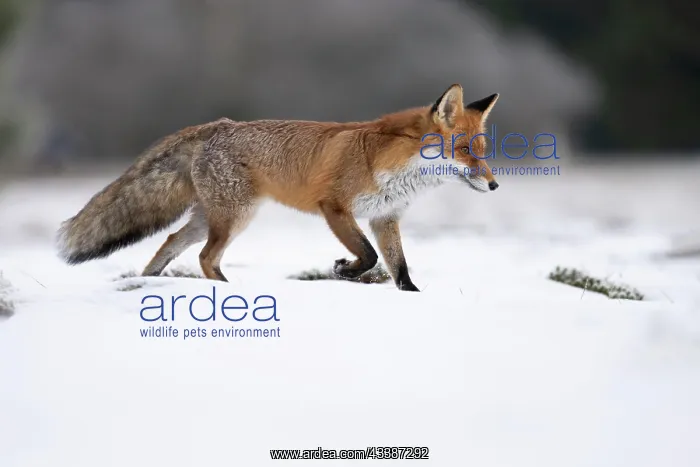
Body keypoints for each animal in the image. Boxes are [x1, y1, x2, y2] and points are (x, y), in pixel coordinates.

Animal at [56, 84, 500, 291]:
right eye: (464, 151)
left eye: (482, 151)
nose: (495, 184)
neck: (393, 165)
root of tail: (217, 125)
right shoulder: (334, 207)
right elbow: (369, 256)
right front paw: (344, 270)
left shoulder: (384, 217)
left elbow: (400, 269)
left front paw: (414, 299)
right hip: (236, 217)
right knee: (205, 257)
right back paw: (225, 290)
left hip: (209, 218)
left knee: (170, 242)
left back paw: (149, 281)